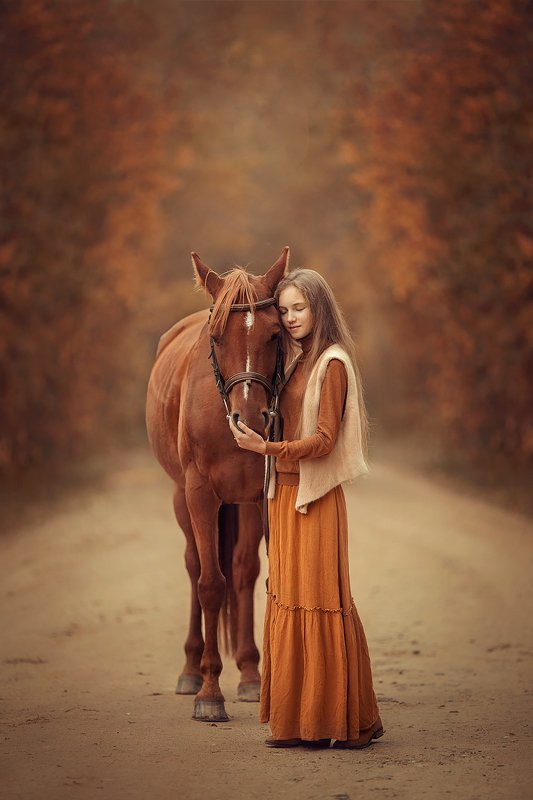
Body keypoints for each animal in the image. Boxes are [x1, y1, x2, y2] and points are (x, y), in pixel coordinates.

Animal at [146, 246, 289, 721]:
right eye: (217, 336)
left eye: (275, 334)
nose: (251, 419)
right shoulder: (200, 495)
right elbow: (210, 584)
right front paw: (209, 694)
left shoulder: (260, 495)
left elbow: (259, 577)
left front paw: (257, 680)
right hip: (182, 499)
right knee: (195, 567)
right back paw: (192, 671)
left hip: (241, 503)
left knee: (242, 571)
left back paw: (248, 674)